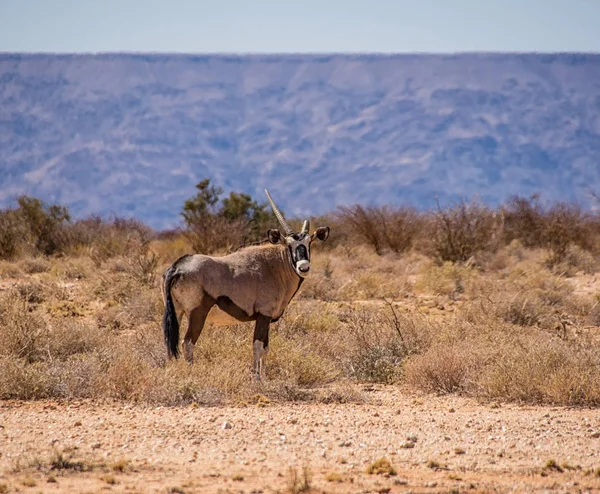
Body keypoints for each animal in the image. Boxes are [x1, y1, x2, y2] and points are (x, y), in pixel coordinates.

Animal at [162, 188, 330, 378]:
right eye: (289, 245)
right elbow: (258, 346)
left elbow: (266, 348)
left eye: (309, 243)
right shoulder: (263, 315)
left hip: (177, 311)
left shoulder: (267, 318)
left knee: (170, 342)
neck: (276, 266)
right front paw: (256, 377)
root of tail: (177, 267)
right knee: (187, 342)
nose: (303, 267)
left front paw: (264, 377)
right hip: (197, 313)